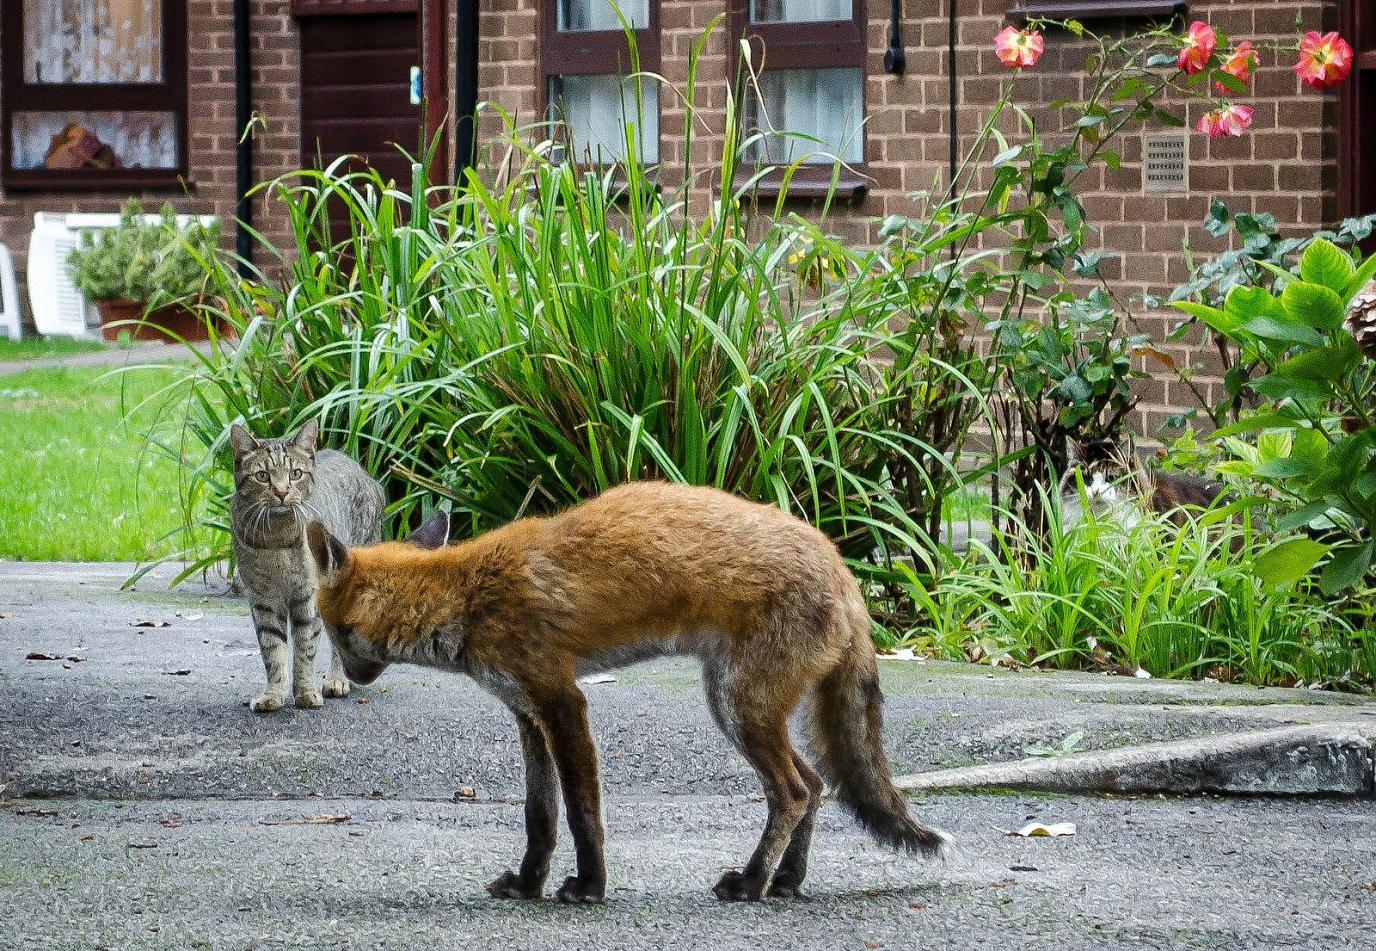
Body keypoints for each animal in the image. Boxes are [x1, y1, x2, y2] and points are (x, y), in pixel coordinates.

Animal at [228, 421, 385, 710]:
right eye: (263, 476)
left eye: (295, 473)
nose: (281, 492)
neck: (276, 539)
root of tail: (369, 476)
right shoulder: (263, 598)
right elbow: (272, 650)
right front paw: (273, 694)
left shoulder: (308, 595)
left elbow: (304, 648)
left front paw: (304, 692)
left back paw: (337, 679)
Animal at [304, 484, 946, 908]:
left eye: (331, 632)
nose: (353, 680)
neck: (465, 595)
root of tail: (839, 563)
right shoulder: (526, 713)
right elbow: (540, 816)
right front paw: (528, 884)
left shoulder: (561, 701)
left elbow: (582, 812)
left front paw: (589, 886)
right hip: (745, 706)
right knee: (814, 786)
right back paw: (785, 881)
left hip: (738, 707)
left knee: (792, 791)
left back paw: (751, 883)